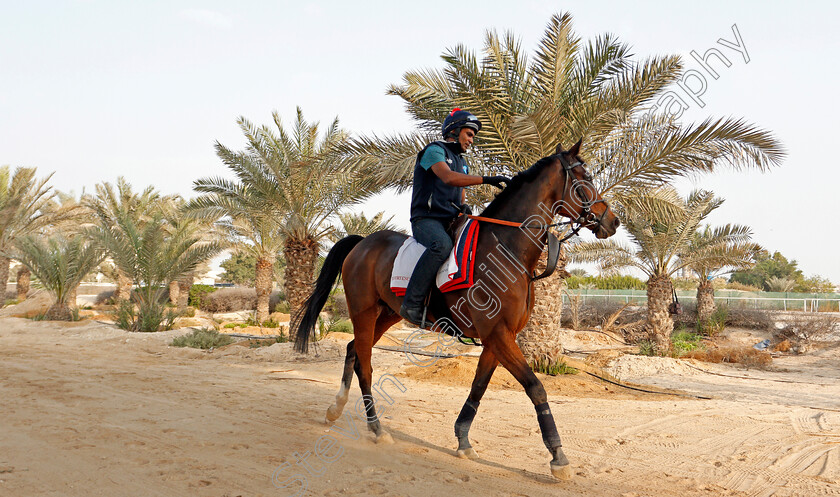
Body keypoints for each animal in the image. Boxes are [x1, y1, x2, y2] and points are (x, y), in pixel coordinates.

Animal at [292, 139, 620, 476]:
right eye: (585, 178)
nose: (612, 221)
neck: (506, 249)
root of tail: (362, 243)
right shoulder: (498, 335)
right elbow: (535, 387)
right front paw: (557, 456)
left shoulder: (498, 338)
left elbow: (479, 387)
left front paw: (463, 439)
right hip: (364, 312)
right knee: (365, 365)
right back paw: (376, 428)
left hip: (387, 315)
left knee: (353, 350)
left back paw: (335, 408)